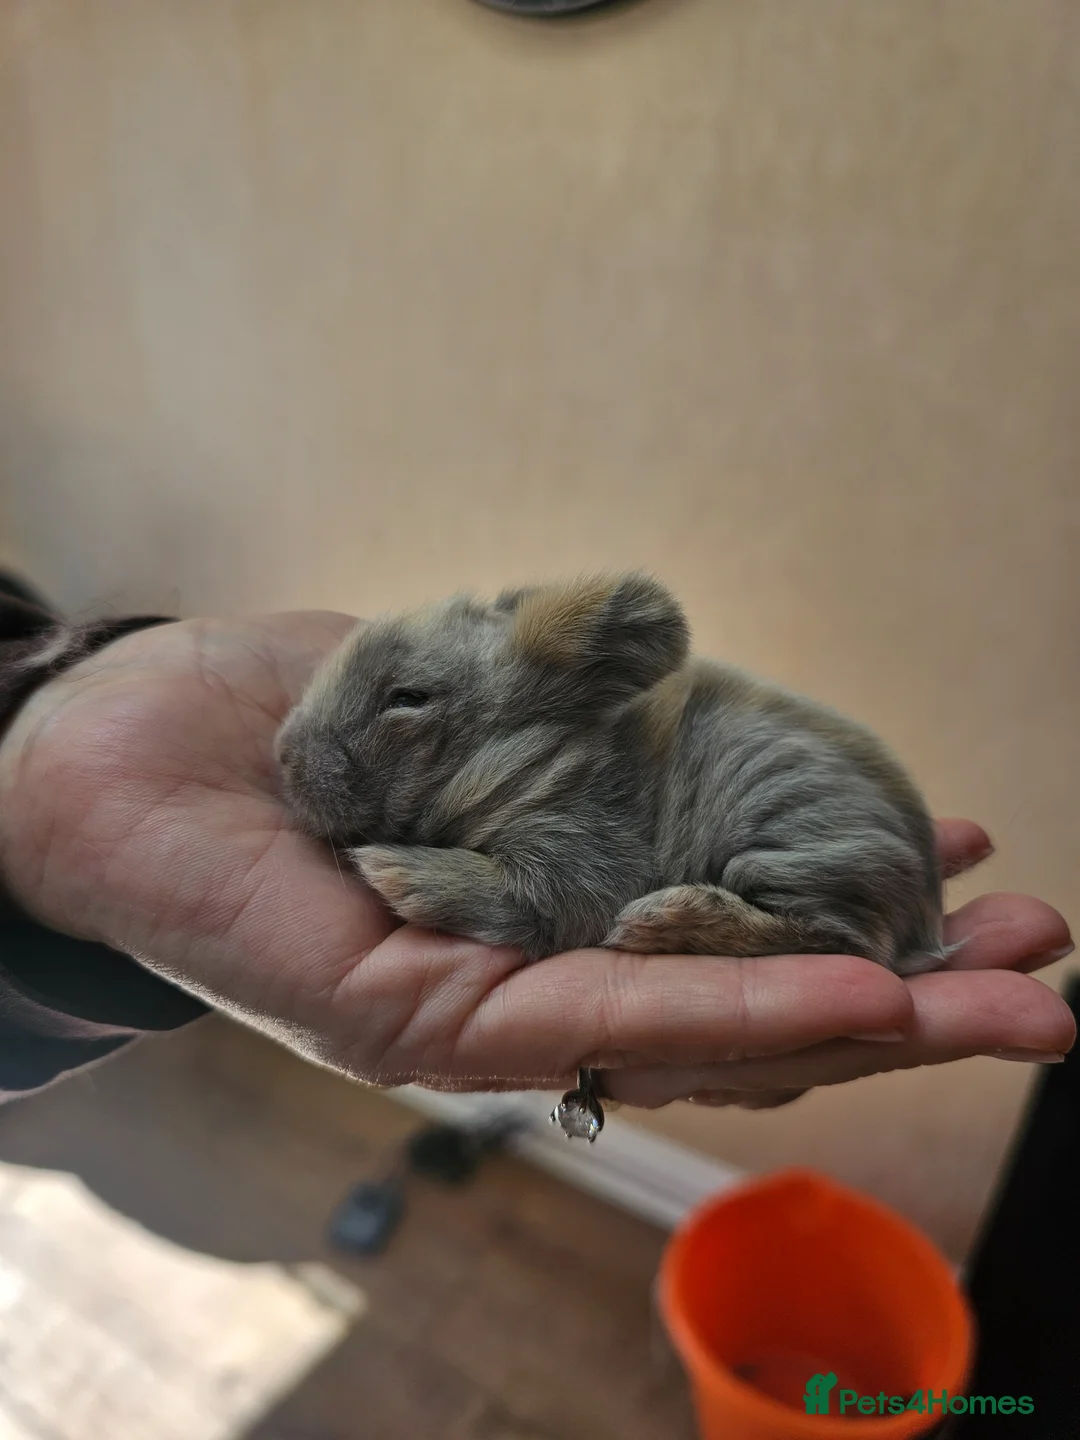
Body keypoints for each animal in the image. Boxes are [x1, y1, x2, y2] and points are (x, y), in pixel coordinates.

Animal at [276, 573, 947, 980]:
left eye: (408, 698)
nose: (282, 758)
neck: (544, 757)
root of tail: (926, 915)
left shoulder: (577, 858)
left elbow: (512, 893)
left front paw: (395, 871)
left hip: (791, 842)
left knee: (839, 940)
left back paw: (661, 922)